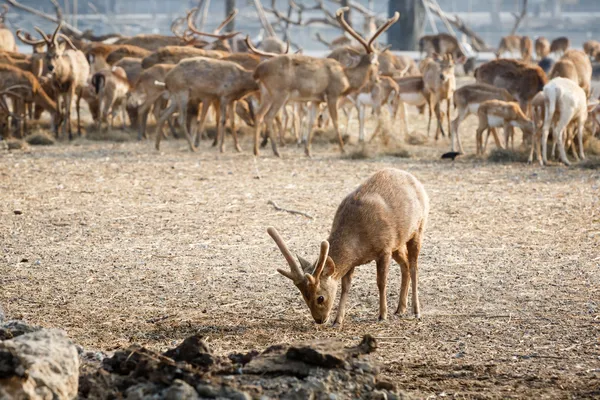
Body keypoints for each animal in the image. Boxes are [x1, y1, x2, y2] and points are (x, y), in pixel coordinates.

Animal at [268, 167, 426, 326]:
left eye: (320, 298)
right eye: (304, 296)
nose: (319, 320)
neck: (359, 244)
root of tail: (415, 179)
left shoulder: (384, 249)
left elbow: (381, 282)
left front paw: (382, 315)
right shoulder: (354, 261)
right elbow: (345, 287)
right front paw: (338, 320)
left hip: (418, 228)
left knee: (414, 266)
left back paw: (416, 311)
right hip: (398, 243)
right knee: (405, 264)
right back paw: (400, 309)